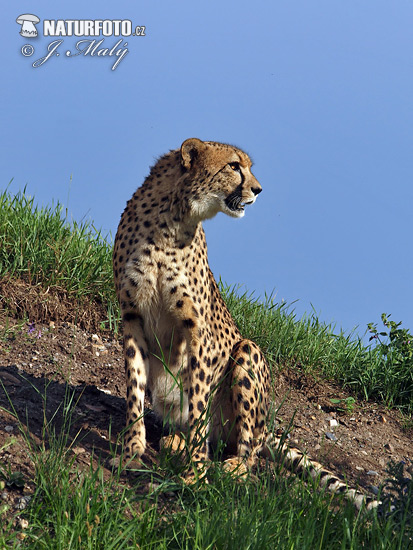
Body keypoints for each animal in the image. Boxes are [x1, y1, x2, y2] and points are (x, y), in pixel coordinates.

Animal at [112, 140, 376, 512]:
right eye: (234, 166)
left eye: (248, 167)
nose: (259, 189)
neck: (172, 218)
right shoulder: (131, 314)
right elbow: (135, 388)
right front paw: (132, 450)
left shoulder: (198, 329)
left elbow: (198, 404)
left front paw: (194, 474)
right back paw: (176, 443)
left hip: (248, 352)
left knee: (249, 451)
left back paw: (230, 465)